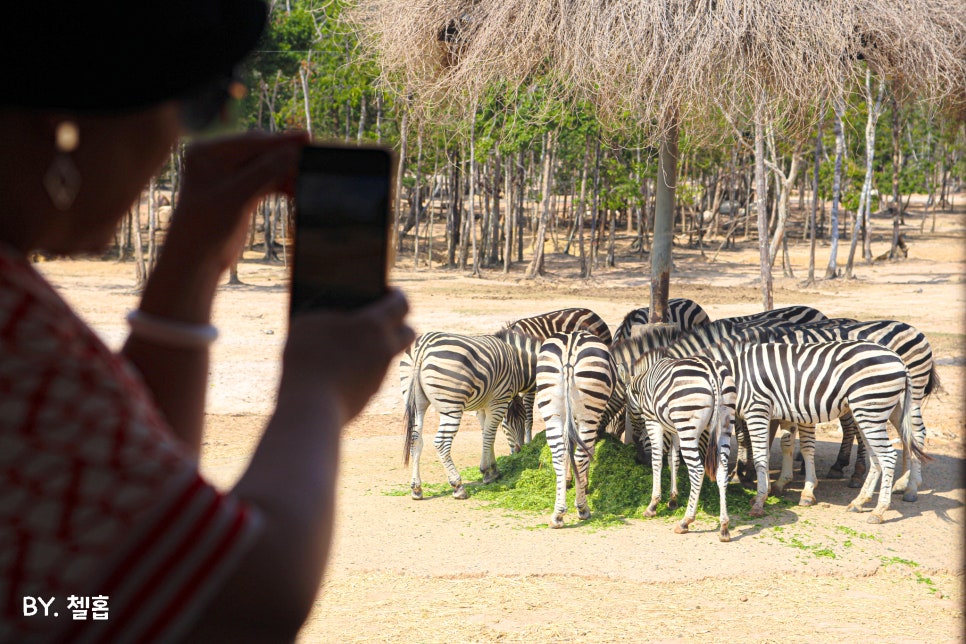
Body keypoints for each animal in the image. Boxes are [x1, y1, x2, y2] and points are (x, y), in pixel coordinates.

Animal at [398, 330, 540, 500]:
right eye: (511, 422)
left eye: (523, 418)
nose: (520, 451)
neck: (516, 365)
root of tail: (423, 345)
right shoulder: (498, 401)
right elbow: (489, 435)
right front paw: (487, 472)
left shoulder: (484, 406)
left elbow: (487, 435)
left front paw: (493, 469)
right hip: (451, 404)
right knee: (441, 443)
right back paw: (458, 486)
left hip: (416, 401)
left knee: (415, 440)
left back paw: (416, 488)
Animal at [506, 306, 612, 442]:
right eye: (505, 423)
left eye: (521, 419)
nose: (517, 447)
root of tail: (592, 312)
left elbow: (529, 417)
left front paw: (528, 443)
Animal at [532, 332, 616, 528]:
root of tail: (569, 351)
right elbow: (588, 449)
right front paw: (584, 483)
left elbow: (568, 443)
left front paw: (570, 480)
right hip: (589, 413)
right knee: (580, 456)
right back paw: (582, 508)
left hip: (551, 409)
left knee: (560, 455)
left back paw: (557, 514)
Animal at [624, 350, 736, 540]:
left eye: (625, 403)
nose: (635, 436)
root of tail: (712, 372)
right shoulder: (676, 430)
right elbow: (674, 460)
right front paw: (673, 499)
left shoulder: (654, 421)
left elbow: (657, 461)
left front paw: (653, 505)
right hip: (724, 427)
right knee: (722, 471)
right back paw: (724, 527)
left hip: (688, 427)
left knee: (697, 470)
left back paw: (685, 521)